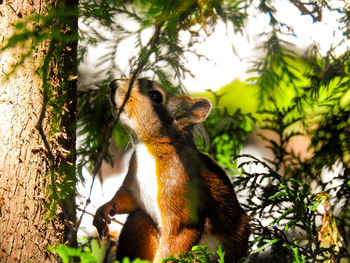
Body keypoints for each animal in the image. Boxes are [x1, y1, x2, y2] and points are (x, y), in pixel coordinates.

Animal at [93, 79, 249, 263]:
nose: (113, 84)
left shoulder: (179, 182)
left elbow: (181, 232)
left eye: (155, 95)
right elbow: (127, 197)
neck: (148, 149)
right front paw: (104, 210)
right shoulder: (133, 174)